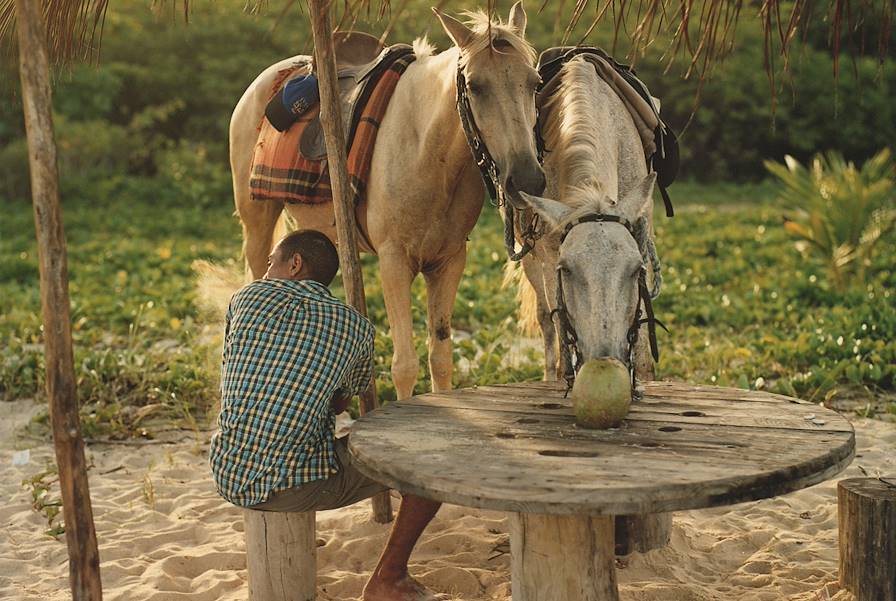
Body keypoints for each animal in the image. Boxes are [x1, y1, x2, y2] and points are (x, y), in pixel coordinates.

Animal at [228, 5, 544, 398]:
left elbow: (440, 358)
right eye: (475, 86)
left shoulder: (449, 261)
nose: (527, 179)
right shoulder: (394, 261)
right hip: (257, 221)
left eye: (535, 83)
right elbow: (404, 366)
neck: (427, 151)